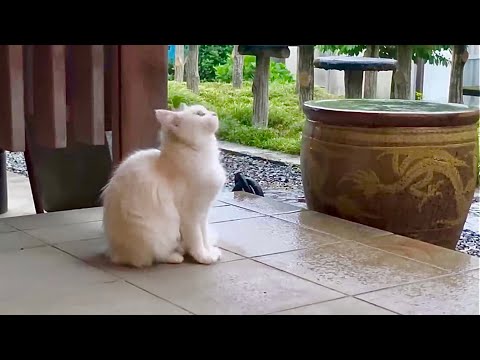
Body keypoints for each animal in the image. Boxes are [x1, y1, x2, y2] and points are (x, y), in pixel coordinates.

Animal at [101, 102, 227, 266]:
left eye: (205, 110)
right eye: (200, 114)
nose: (214, 114)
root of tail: (115, 254)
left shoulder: (203, 212)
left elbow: (204, 236)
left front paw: (209, 252)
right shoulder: (191, 214)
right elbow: (197, 239)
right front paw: (203, 257)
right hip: (158, 233)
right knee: (155, 256)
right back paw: (176, 256)